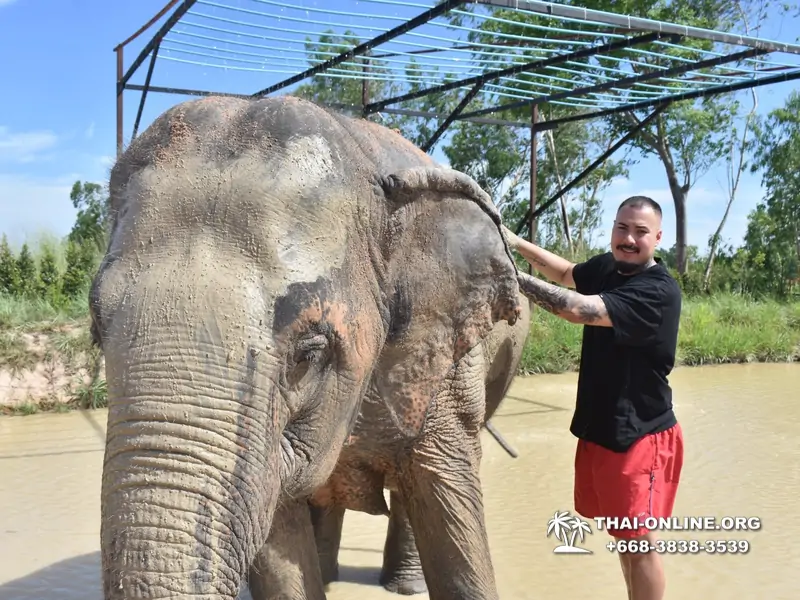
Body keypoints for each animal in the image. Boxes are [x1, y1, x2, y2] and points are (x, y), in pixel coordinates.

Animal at [90, 94, 524, 600]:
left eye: (308, 355)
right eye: (96, 328)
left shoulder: (447, 368)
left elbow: (449, 502)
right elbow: (280, 541)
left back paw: (402, 587)